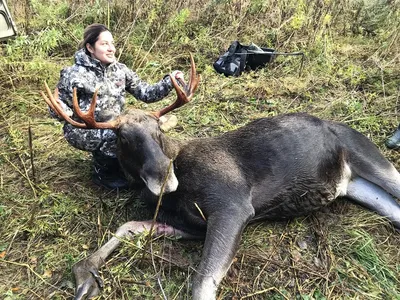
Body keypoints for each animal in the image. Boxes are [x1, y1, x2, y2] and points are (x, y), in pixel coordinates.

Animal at [41, 55, 400, 298]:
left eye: (158, 130)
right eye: (123, 138)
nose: (165, 179)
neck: (175, 194)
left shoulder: (233, 206)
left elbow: (202, 283)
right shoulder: (187, 225)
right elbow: (127, 227)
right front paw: (86, 275)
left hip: (369, 159)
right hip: (354, 186)